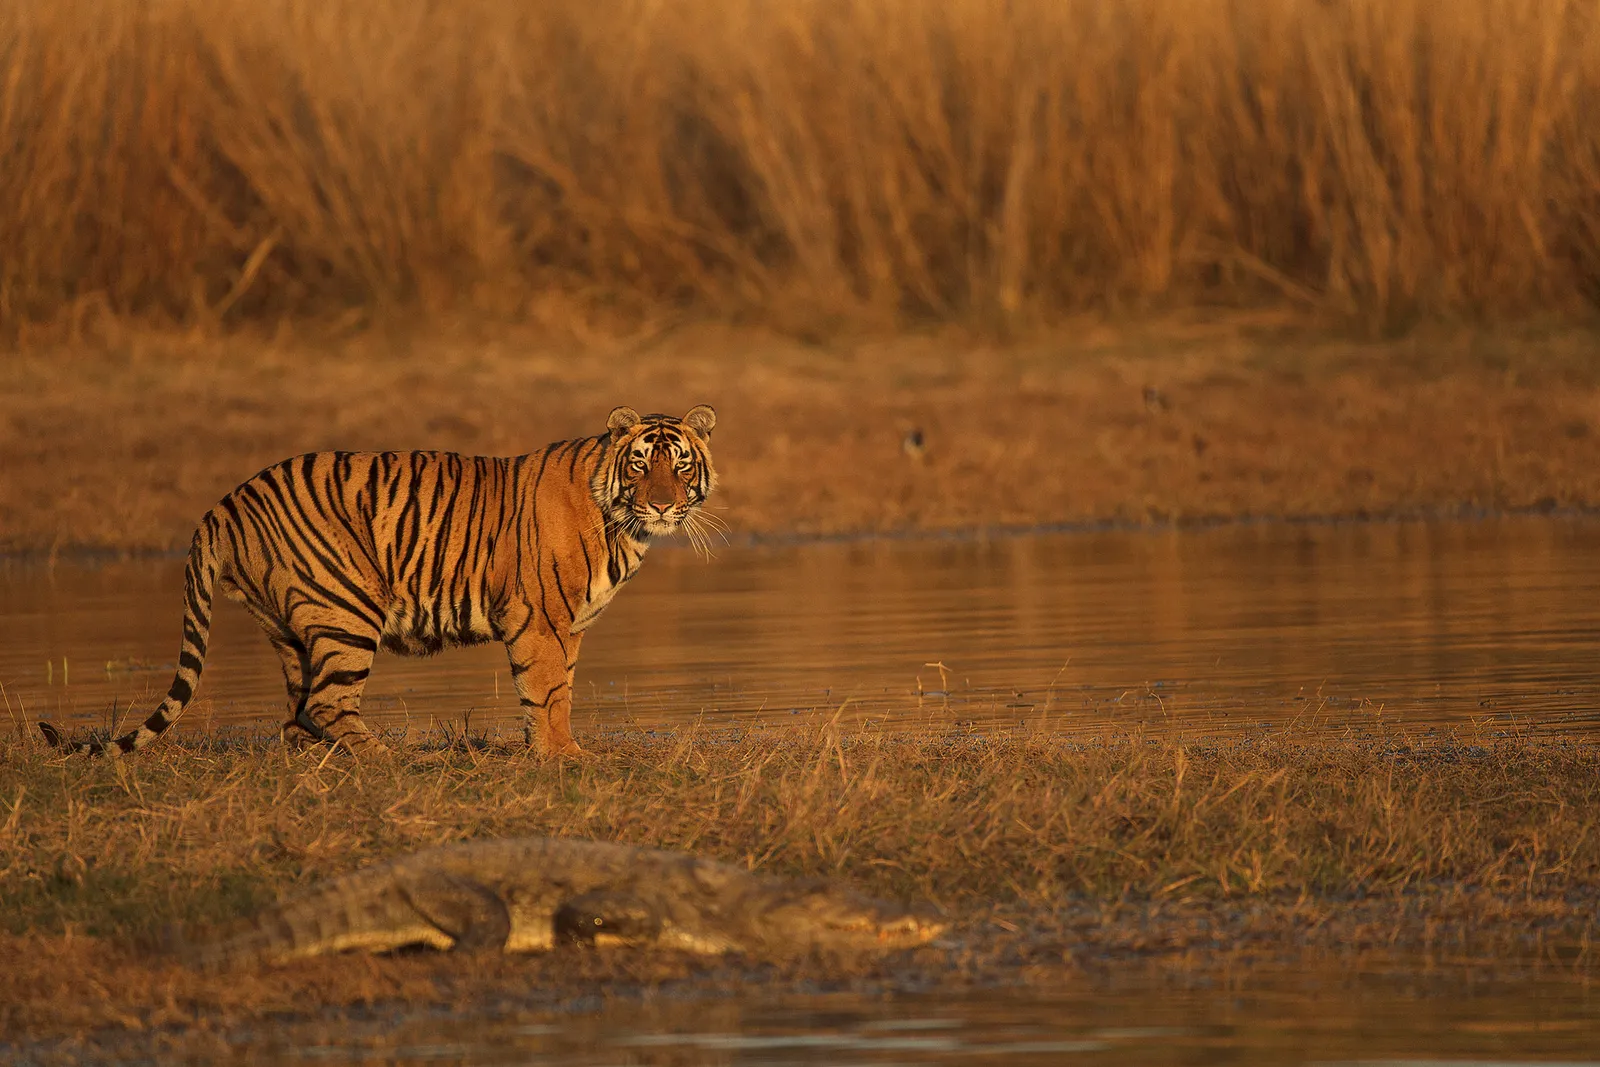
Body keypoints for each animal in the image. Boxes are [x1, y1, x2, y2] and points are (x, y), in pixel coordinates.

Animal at [37, 405, 719, 759]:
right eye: (641, 464)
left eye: (681, 465)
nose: (662, 504)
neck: (622, 523)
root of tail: (223, 504)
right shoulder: (543, 620)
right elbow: (548, 694)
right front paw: (562, 759)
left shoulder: (568, 625)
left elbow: (562, 694)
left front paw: (561, 751)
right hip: (347, 608)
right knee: (327, 702)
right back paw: (388, 760)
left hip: (291, 626)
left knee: (298, 712)